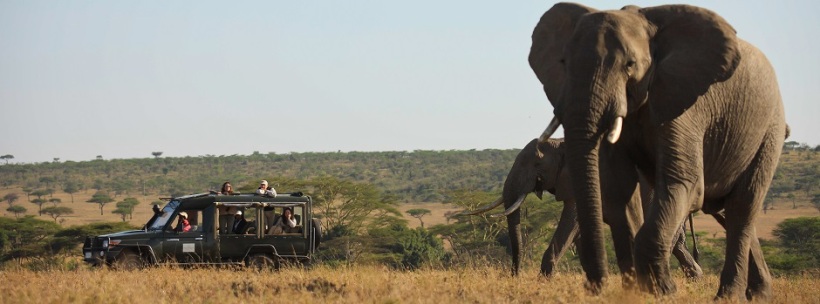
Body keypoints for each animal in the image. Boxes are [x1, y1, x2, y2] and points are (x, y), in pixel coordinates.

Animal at [458, 137, 700, 278]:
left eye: (536, 163)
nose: (514, 277)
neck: (561, 142)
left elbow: (571, 221)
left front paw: (543, 281)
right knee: (675, 241)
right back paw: (694, 278)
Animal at [528, 3, 784, 300]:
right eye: (563, 63)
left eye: (629, 65)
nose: (595, 287)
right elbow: (618, 190)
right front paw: (635, 291)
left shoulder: (683, 104)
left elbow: (682, 183)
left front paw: (662, 292)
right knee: (727, 212)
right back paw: (758, 294)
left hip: (769, 131)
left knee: (742, 206)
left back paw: (728, 297)